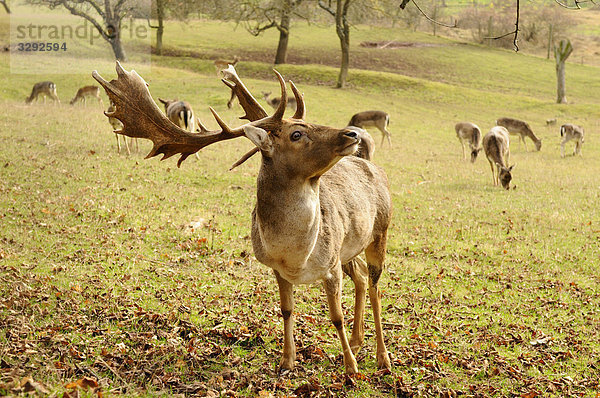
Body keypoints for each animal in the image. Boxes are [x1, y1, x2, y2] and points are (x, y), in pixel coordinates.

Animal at [92, 61, 394, 374]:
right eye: (296, 134)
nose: (352, 134)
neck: (295, 256)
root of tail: (375, 167)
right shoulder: (280, 269)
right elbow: (286, 310)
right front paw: (287, 361)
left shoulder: (331, 266)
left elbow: (336, 317)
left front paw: (351, 369)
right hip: (350, 249)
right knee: (362, 278)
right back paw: (358, 343)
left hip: (381, 231)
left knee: (376, 289)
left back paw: (383, 358)